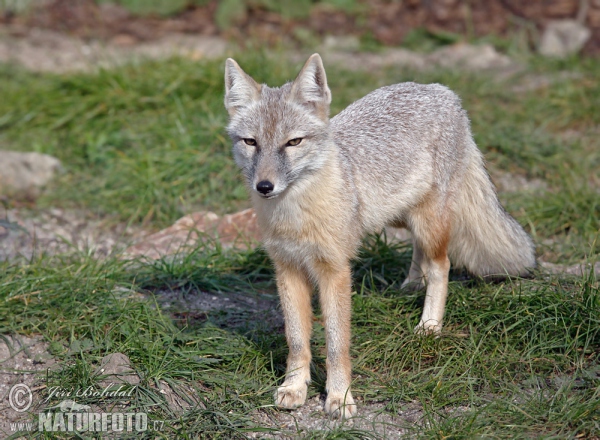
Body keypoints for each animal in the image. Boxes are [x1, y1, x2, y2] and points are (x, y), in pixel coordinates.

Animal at [223, 53, 536, 418]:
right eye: (251, 142)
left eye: (293, 142)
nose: (264, 186)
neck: (295, 217)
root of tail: (441, 91)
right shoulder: (287, 269)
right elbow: (297, 340)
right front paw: (294, 387)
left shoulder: (335, 271)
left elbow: (336, 344)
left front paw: (340, 397)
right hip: (401, 217)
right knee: (421, 255)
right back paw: (412, 283)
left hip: (428, 222)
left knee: (441, 265)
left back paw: (430, 326)